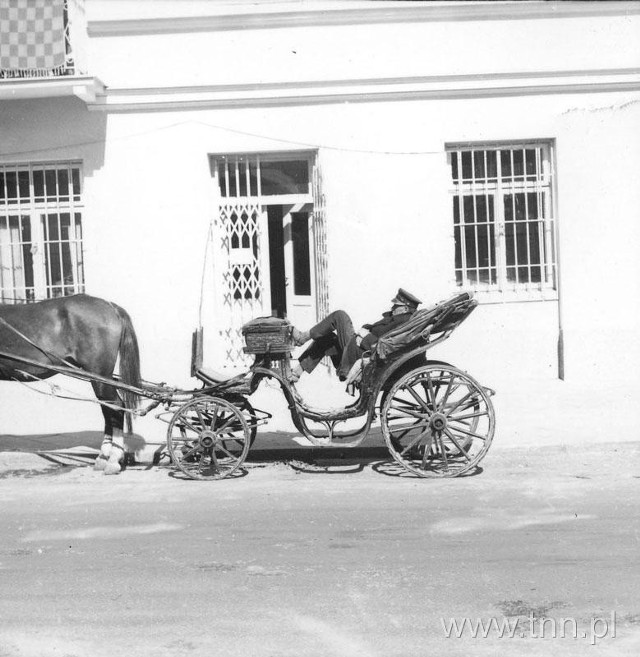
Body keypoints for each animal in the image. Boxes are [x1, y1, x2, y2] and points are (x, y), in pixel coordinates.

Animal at [0, 294, 141, 474]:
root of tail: (110, 306)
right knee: (108, 408)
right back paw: (103, 457)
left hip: (99, 375)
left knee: (115, 407)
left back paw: (113, 460)